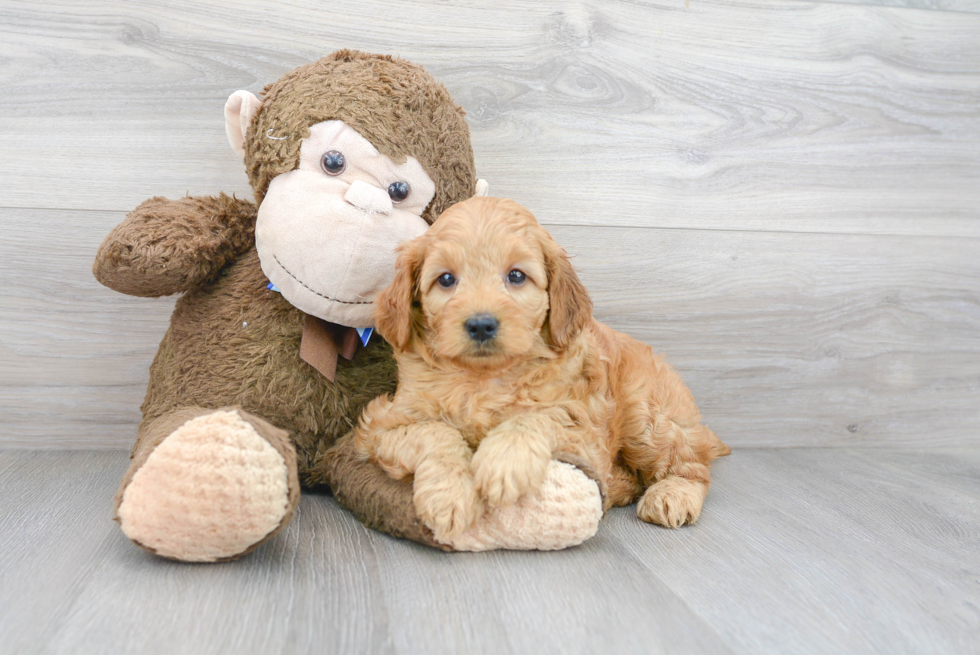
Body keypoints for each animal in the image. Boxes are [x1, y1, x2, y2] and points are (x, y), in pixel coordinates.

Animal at [352, 197, 728, 540]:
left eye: (516, 275)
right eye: (445, 279)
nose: (481, 324)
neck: (484, 379)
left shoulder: (584, 428)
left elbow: (539, 416)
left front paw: (502, 463)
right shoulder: (381, 425)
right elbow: (433, 431)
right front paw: (450, 496)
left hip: (649, 418)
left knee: (692, 467)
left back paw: (672, 495)